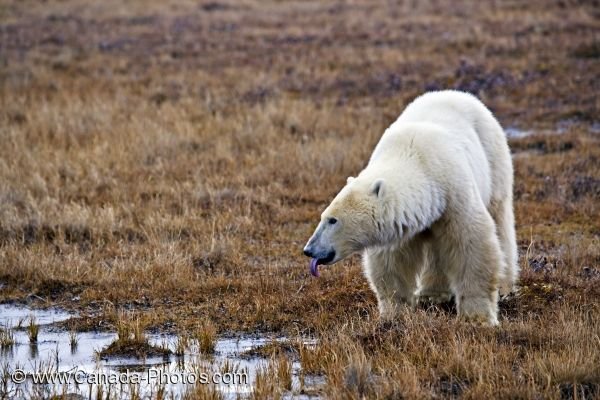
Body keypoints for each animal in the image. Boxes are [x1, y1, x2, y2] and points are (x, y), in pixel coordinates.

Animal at [304, 90, 520, 324]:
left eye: (333, 220)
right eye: (323, 216)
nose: (309, 250)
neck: (414, 158)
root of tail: (459, 94)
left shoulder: (454, 192)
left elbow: (472, 244)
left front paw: (478, 317)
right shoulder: (402, 223)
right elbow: (392, 262)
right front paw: (393, 314)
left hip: (493, 158)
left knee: (499, 217)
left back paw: (505, 286)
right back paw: (432, 294)